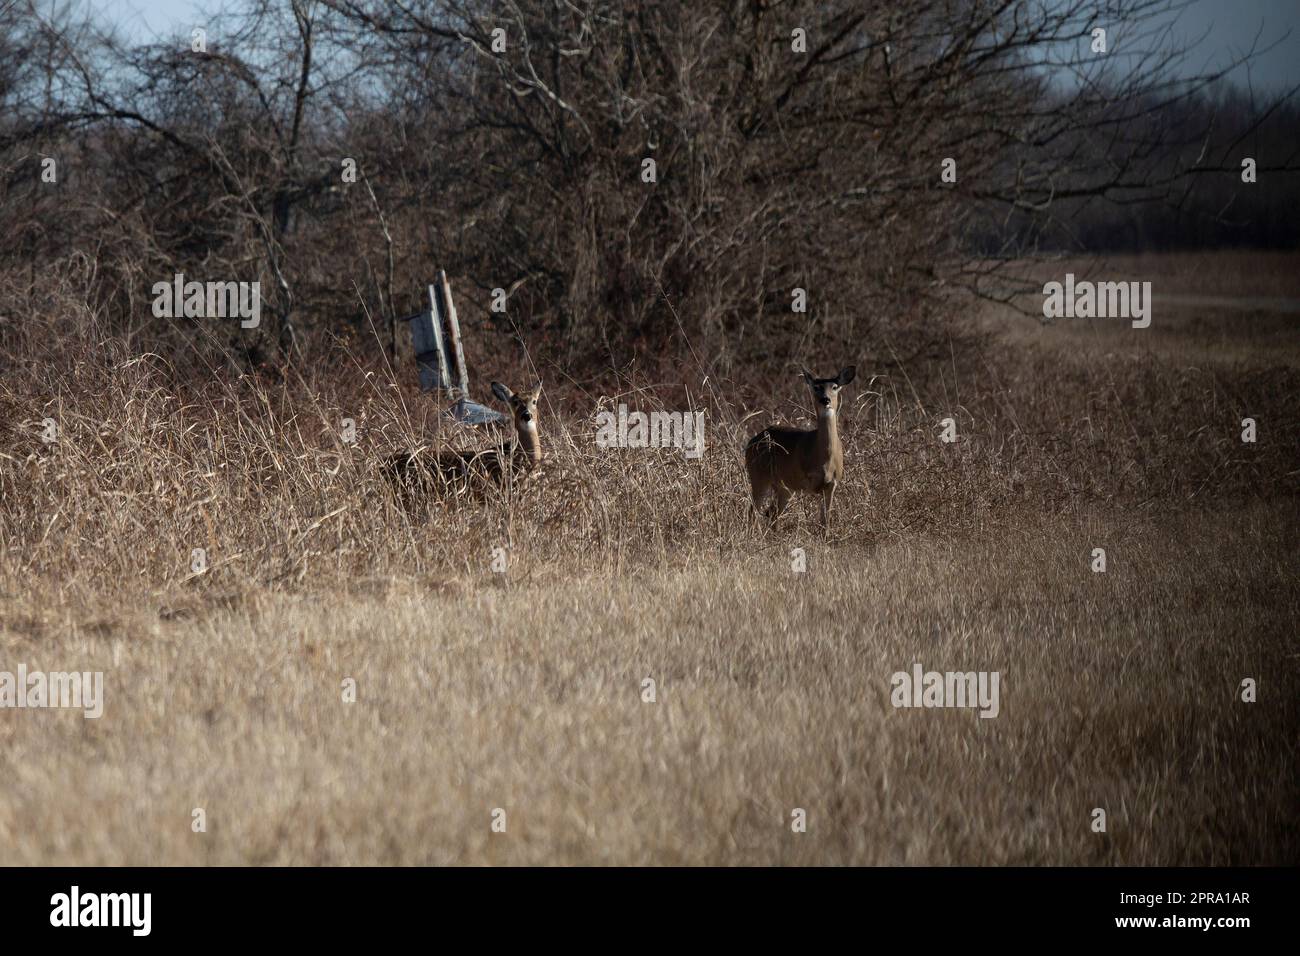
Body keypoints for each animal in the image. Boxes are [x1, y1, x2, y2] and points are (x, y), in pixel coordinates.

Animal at [748, 364, 857, 530]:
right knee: (754, 511)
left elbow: (825, 521)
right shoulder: (807, 482)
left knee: (772, 512)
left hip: (783, 486)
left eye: (835, 386)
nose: (825, 399)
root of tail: (750, 443)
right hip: (758, 475)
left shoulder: (832, 484)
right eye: (816, 387)